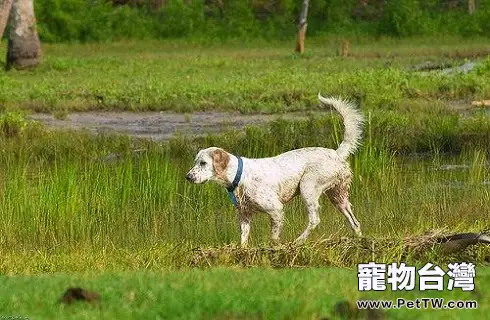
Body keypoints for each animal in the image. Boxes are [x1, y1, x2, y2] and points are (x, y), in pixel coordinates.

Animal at [187, 94, 364, 246]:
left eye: (203, 163)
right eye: (196, 162)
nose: (187, 177)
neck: (239, 175)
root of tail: (336, 153)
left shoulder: (275, 209)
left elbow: (274, 236)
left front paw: (276, 246)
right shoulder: (244, 215)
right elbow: (243, 239)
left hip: (308, 186)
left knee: (314, 220)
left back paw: (298, 241)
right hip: (338, 196)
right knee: (354, 221)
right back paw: (359, 238)